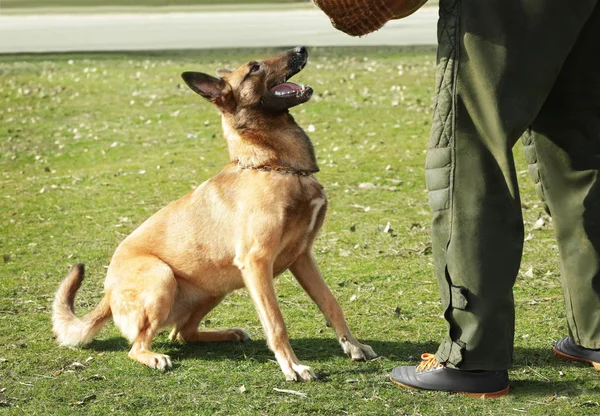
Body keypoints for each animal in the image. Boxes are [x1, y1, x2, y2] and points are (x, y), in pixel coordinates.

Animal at [52, 46, 376, 380]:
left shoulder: (302, 257)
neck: (274, 165)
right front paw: (293, 366)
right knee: (139, 345)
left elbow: (331, 303)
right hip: (162, 277)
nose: (302, 48)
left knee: (182, 333)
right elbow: (276, 322)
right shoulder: (256, 262)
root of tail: (107, 294)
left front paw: (353, 346)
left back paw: (226, 333)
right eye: (255, 67)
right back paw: (154, 356)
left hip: (216, 286)